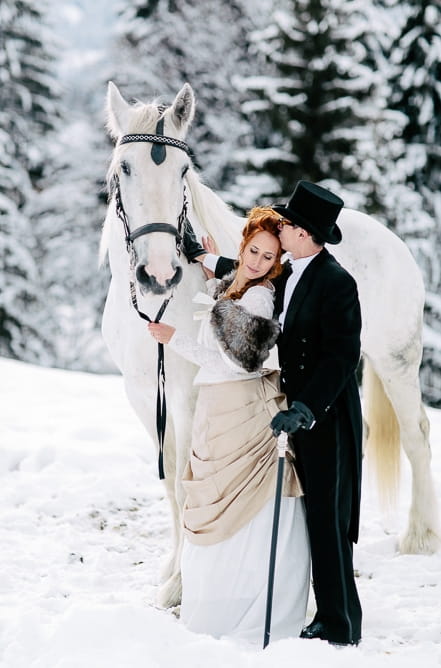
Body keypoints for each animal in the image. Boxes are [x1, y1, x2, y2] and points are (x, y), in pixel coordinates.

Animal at [100, 82, 440, 604]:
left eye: (183, 171)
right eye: (125, 168)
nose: (159, 274)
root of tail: (392, 239)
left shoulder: (189, 395)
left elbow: (186, 480)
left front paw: (182, 583)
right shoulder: (142, 396)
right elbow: (172, 481)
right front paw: (172, 571)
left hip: (396, 361)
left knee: (417, 435)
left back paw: (418, 538)